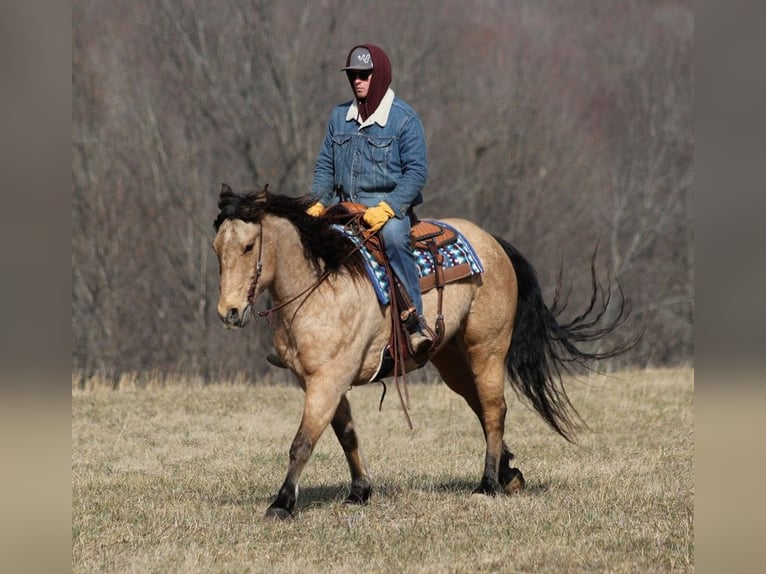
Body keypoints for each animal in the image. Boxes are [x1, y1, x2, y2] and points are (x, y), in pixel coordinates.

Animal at [213, 184, 632, 520]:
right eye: (217, 248)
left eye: (248, 247)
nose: (228, 312)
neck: (322, 284)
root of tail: (494, 243)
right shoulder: (319, 382)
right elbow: (346, 434)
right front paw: (359, 491)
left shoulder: (328, 380)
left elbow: (303, 442)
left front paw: (282, 503)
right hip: (453, 362)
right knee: (482, 408)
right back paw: (507, 473)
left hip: (487, 349)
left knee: (494, 408)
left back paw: (487, 485)